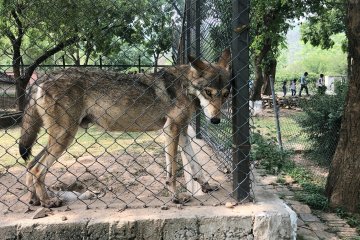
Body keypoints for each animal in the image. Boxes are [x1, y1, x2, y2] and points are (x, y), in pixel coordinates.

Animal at [19, 49, 232, 208]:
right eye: (208, 92)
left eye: (225, 95)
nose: (216, 120)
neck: (185, 85)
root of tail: (43, 77)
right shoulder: (171, 130)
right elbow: (171, 173)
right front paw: (176, 197)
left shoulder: (183, 132)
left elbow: (196, 166)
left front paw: (206, 185)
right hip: (64, 137)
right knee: (37, 169)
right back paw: (48, 202)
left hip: (58, 138)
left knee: (30, 166)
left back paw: (36, 200)